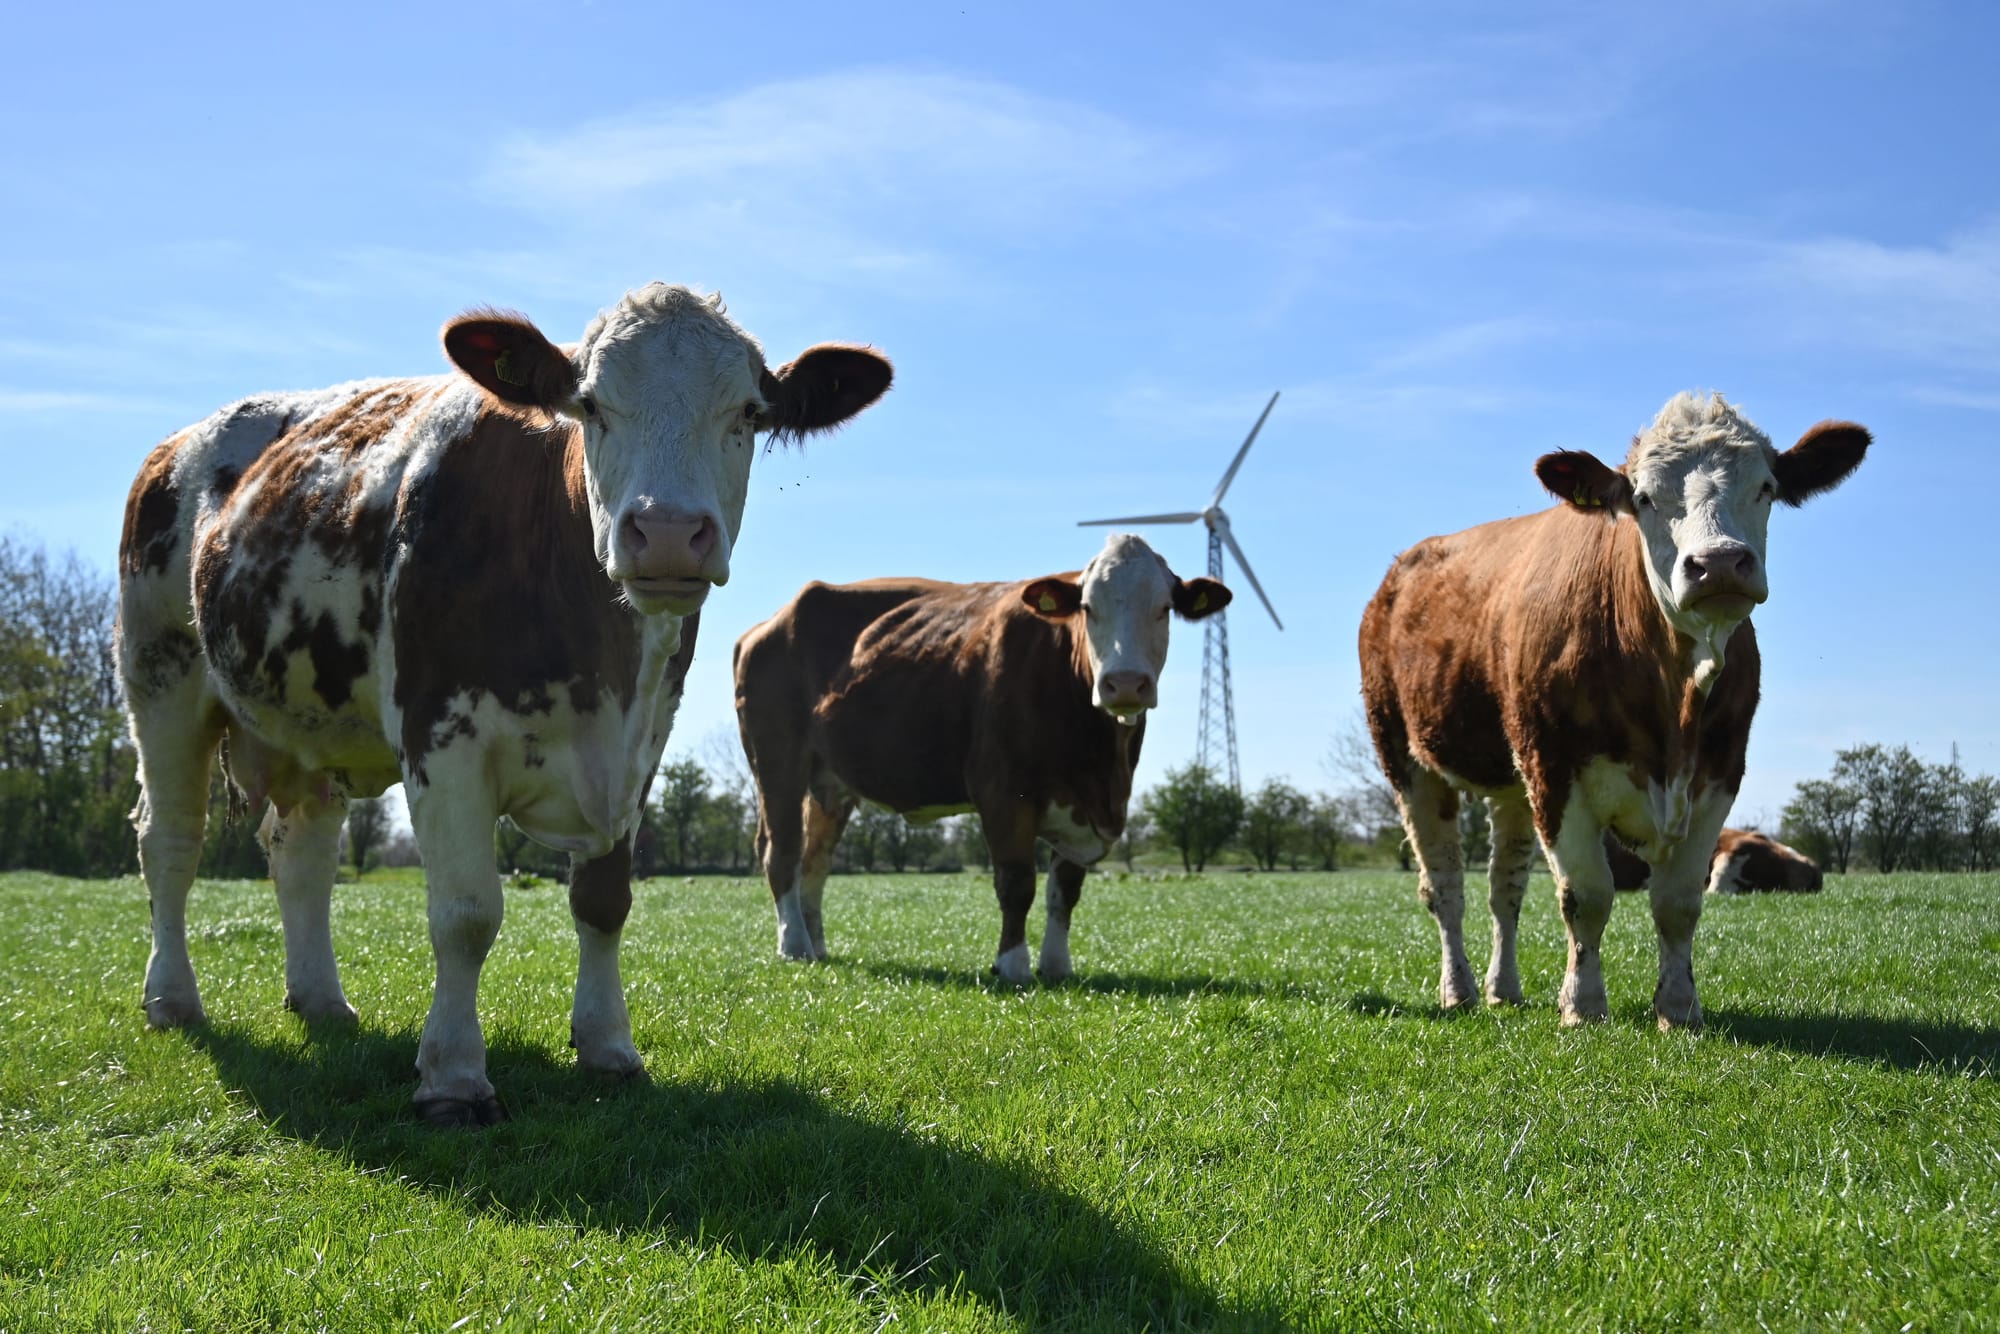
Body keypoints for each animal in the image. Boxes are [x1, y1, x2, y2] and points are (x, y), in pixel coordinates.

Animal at [116, 283, 892, 1124]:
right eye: (591, 405)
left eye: (748, 412)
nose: (667, 534)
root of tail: (179, 444)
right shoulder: (440, 735)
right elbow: (467, 914)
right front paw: (454, 1076)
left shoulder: (641, 745)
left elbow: (604, 902)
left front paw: (609, 1047)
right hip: (160, 671)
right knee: (171, 840)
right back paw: (173, 999)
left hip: (309, 720)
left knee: (303, 851)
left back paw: (320, 998)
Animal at [732, 533, 1230, 981]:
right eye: (1089, 608)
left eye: (1164, 608)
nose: (1125, 683)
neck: (1100, 762)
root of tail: (769, 624)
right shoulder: (1003, 791)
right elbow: (1017, 882)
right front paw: (1013, 966)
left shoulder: (1082, 806)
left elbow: (1065, 890)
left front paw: (1057, 966)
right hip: (777, 762)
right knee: (781, 851)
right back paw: (793, 945)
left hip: (830, 783)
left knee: (815, 860)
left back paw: (816, 944)